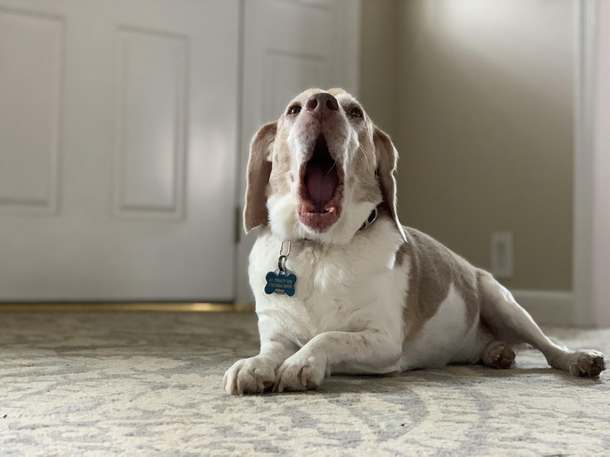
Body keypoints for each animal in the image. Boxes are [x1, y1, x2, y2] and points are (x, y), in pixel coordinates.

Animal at [222, 87, 604, 394]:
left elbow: (326, 337)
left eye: (355, 112)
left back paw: (579, 358)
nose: (322, 103)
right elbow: (270, 352)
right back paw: (495, 352)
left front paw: (302, 363)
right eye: (294, 109)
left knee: (549, 347)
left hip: (505, 303)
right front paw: (253, 365)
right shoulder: (277, 334)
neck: (320, 249)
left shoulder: (383, 340)